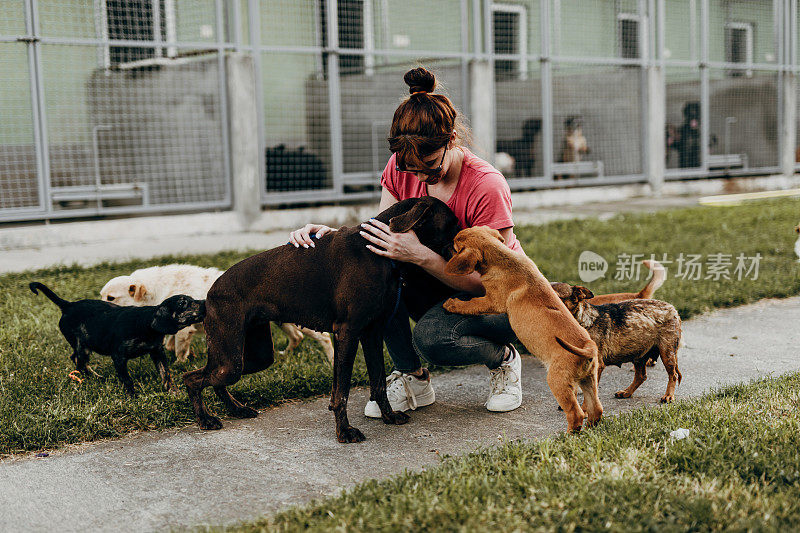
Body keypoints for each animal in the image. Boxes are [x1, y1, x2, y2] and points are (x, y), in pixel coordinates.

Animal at [30, 282, 206, 394]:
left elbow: (166, 373)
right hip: (82, 345)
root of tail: (68, 305)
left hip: (84, 343)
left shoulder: (157, 351)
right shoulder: (119, 356)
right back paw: (93, 378)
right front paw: (132, 396)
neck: (146, 324)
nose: (205, 301)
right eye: (183, 303)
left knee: (76, 359)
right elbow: (127, 379)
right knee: (80, 362)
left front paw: (173, 392)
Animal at [101, 264, 334, 364]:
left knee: (324, 338)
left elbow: (179, 349)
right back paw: (285, 355)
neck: (155, 290)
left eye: (111, 298)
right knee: (297, 337)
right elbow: (169, 343)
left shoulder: (185, 330)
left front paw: (180, 364)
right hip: (281, 321)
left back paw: (331, 362)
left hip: (303, 322)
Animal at [444, 225, 600, 432]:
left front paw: (453, 304)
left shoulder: (490, 302)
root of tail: (587, 346)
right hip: (589, 379)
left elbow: (471, 305)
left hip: (558, 382)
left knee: (576, 414)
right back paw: (591, 428)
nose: (443, 244)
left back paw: (568, 435)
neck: (503, 259)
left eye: (454, 246)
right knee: (596, 409)